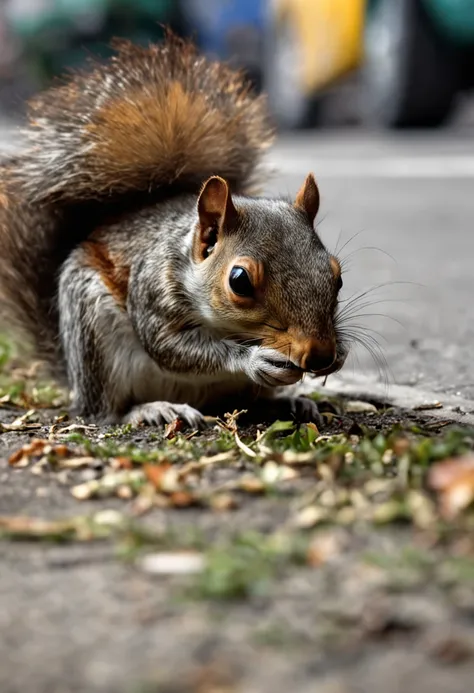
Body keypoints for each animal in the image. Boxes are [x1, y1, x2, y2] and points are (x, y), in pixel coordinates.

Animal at [0, 33, 348, 428]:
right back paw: (153, 409)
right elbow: (169, 346)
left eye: (337, 277)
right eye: (239, 281)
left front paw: (341, 353)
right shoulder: (154, 288)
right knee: (103, 412)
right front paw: (251, 359)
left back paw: (290, 403)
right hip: (92, 333)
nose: (320, 354)